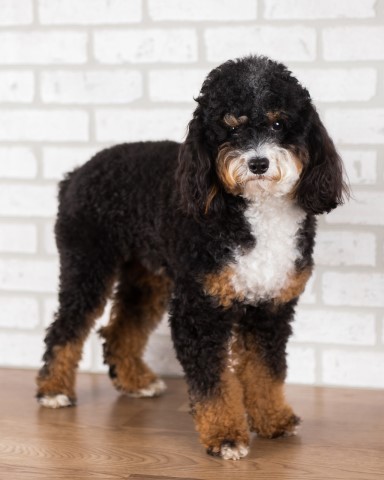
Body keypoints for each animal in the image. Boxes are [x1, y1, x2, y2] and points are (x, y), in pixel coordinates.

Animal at [36, 55, 348, 462]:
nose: (258, 163)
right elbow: (212, 382)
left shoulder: (271, 308)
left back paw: (136, 382)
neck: (256, 214)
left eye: (279, 123)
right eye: (230, 126)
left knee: (122, 327)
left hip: (147, 277)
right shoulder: (200, 308)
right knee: (67, 327)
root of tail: (75, 175)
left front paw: (274, 420)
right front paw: (226, 436)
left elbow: (266, 369)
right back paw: (54, 391)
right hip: (87, 264)